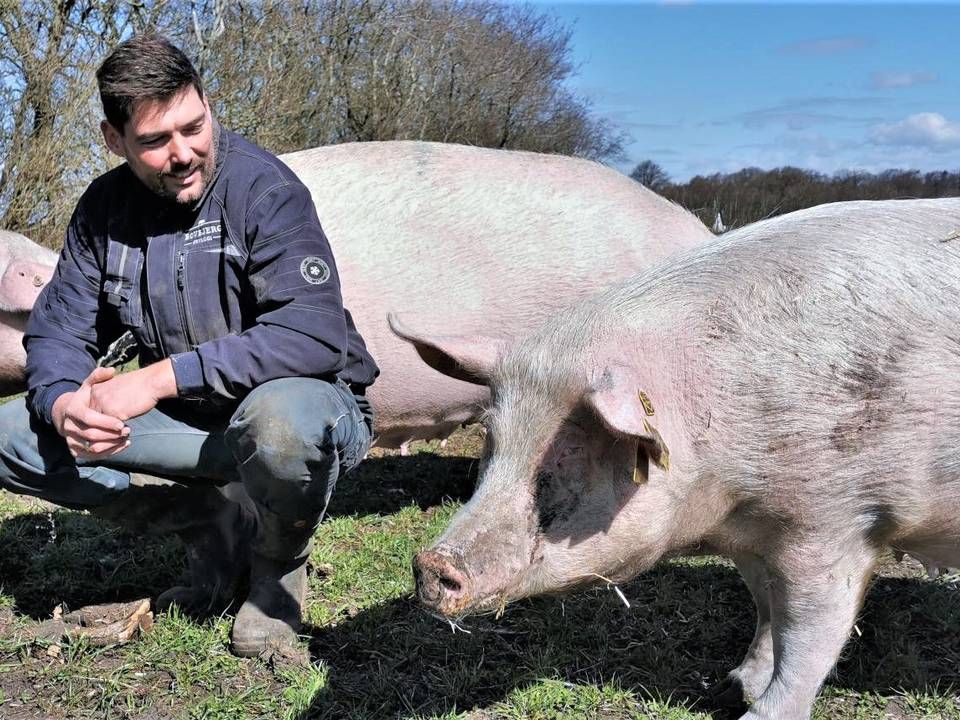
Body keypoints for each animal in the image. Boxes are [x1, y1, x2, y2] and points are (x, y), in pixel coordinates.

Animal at [402, 197, 960, 720]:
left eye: (565, 455)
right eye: (490, 440)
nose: (432, 562)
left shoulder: (833, 524)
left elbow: (807, 639)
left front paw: (755, 709)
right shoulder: (751, 536)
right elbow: (765, 610)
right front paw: (731, 688)